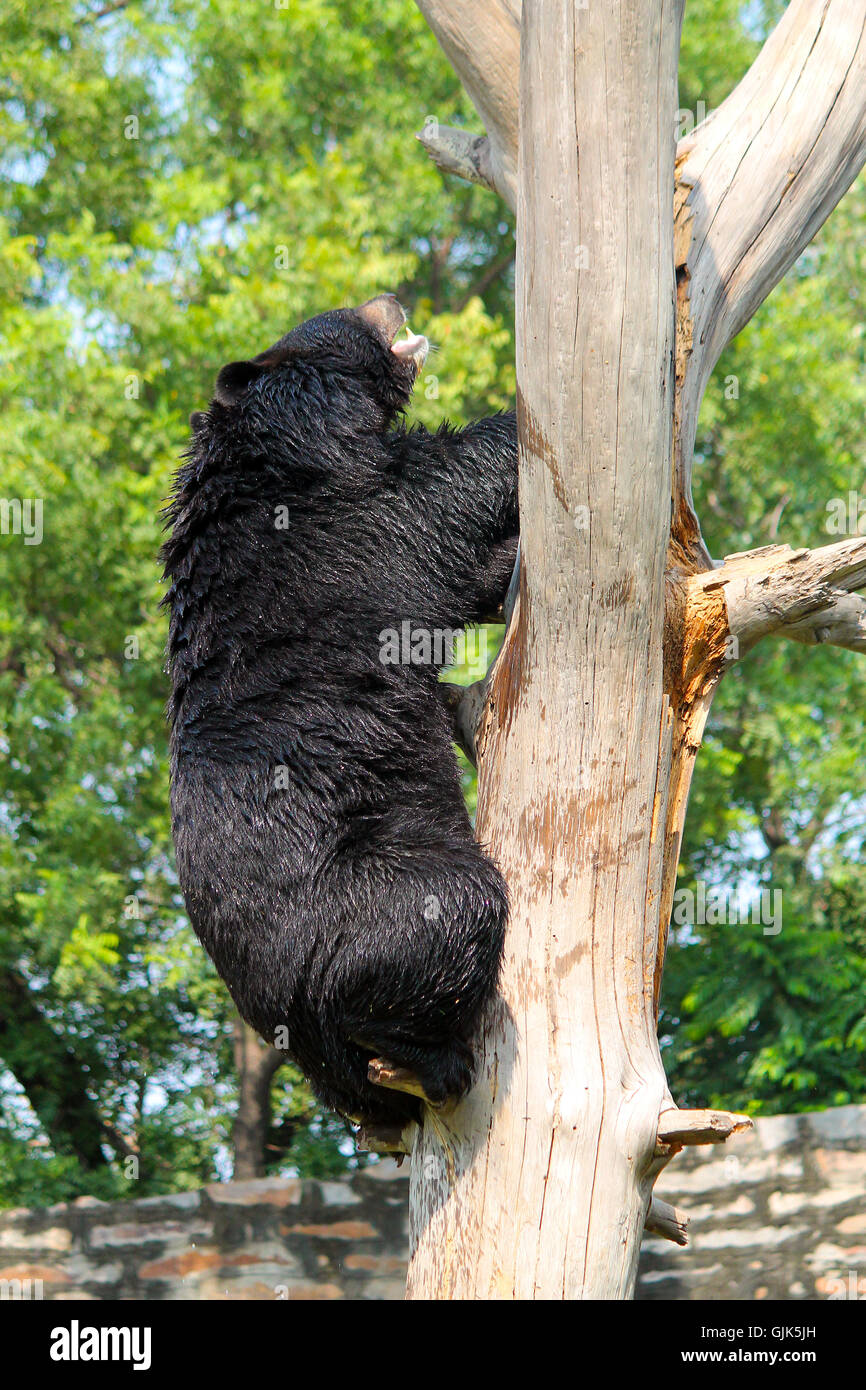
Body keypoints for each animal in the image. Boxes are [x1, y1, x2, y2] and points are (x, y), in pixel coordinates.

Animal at [161, 296, 514, 1128]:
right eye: (344, 314)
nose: (391, 298)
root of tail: (286, 1021)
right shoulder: (342, 528)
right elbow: (447, 491)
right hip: (368, 895)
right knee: (453, 911)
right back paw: (435, 1057)